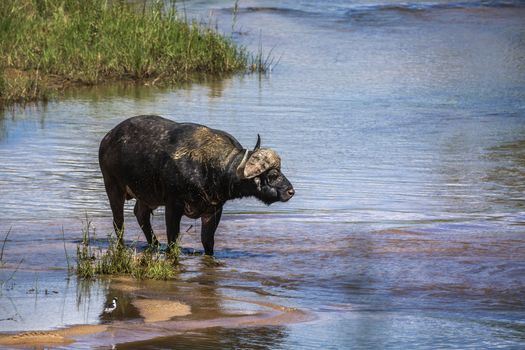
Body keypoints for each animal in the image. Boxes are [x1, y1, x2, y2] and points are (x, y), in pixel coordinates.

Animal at [98, 116, 294, 256]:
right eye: (273, 175)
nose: (290, 191)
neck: (209, 168)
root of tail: (108, 138)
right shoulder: (173, 206)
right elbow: (173, 239)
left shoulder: (213, 211)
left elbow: (207, 241)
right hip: (113, 187)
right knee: (119, 222)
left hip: (147, 195)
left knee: (141, 214)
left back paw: (155, 244)